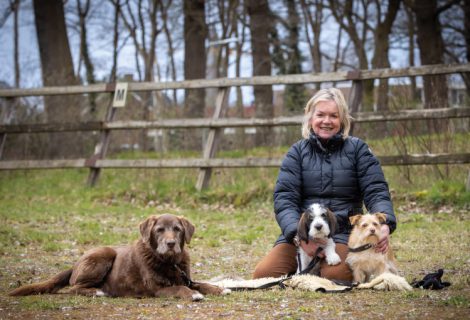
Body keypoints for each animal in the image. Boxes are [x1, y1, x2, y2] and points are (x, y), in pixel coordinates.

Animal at [8, 215, 227, 300]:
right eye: (159, 230)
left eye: (177, 229)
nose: (171, 244)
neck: (170, 262)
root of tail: (75, 264)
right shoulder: (157, 289)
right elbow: (181, 288)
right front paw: (194, 295)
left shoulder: (186, 277)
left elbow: (201, 283)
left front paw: (219, 289)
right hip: (104, 254)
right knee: (74, 287)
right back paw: (98, 292)